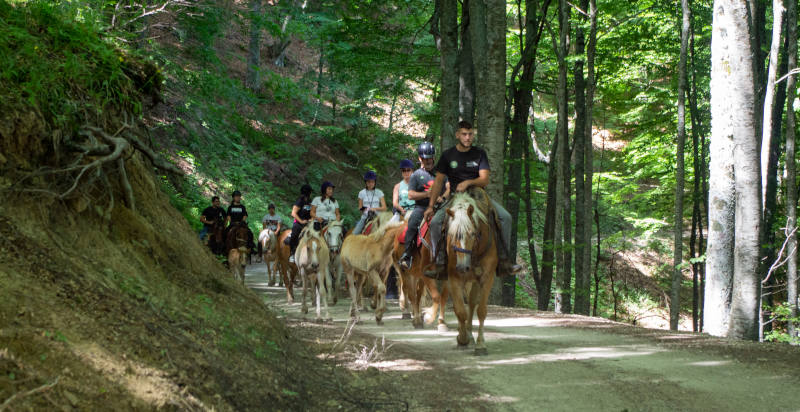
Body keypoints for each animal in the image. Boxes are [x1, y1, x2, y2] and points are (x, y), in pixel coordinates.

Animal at [443, 188, 498, 356]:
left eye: (473, 233)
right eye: (451, 235)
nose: (462, 267)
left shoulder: (487, 278)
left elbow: (481, 311)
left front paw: (480, 344)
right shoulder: (453, 278)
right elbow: (460, 311)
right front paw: (462, 339)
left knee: (472, 303)